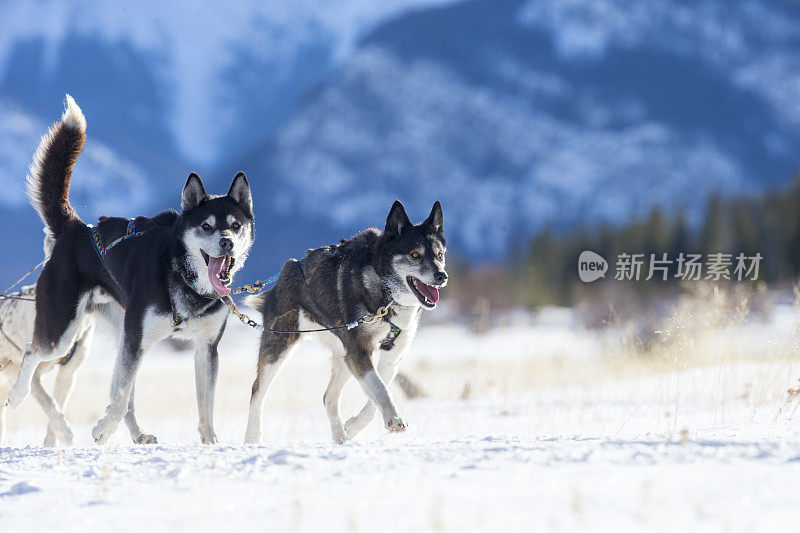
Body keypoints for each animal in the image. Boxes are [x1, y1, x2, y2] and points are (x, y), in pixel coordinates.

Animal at [3, 96, 253, 444]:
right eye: (206, 226)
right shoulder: (137, 339)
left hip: (121, 334)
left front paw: (211, 442)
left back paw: (137, 433)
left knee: (124, 391)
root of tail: (75, 228)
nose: (227, 242)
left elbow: (206, 405)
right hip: (65, 333)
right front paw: (102, 429)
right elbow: (119, 397)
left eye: (236, 225)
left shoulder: (207, 348)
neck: (181, 276)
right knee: (32, 351)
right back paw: (17, 394)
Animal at [245, 198, 444, 440]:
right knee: (257, 391)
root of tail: (286, 270)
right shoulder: (359, 351)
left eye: (439, 255)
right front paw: (394, 418)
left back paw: (341, 435)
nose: (442, 276)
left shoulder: (391, 356)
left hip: (342, 356)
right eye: (415, 254)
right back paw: (253, 438)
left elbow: (377, 392)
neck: (385, 293)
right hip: (279, 345)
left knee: (328, 397)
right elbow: (379, 388)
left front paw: (356, 425)